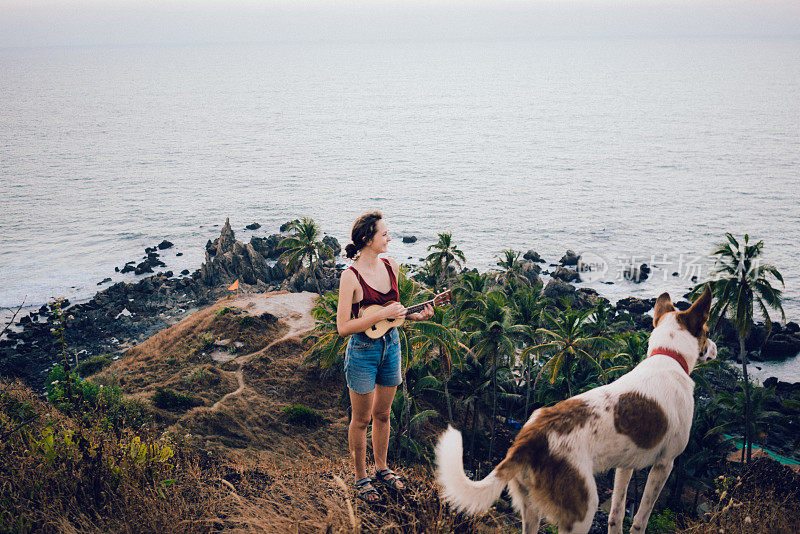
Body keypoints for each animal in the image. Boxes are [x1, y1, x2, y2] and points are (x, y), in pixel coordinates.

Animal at [440, 288, 716, 534]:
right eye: (707, 331)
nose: (714, 348)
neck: (668, 356)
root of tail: (528, 440)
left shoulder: (624, 466)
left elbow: (616, 515)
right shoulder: (664, 464)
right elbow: (640, 520)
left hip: (530, 508)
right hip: (581, 510)